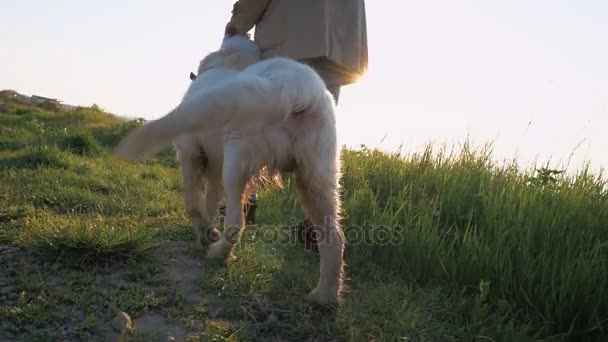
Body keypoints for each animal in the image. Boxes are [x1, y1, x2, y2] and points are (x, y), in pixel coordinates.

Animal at [112, 36, 344, 304]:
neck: (227, 64)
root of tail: (293, 86)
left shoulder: (190, 154)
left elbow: (193, 204)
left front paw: (206, 234)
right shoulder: (213, 164)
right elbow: (209, 201)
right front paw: (207, 229)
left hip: (237, 165)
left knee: (236, 222)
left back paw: (218, 254)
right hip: (317, 180)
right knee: (334, 237)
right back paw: (324, 296)